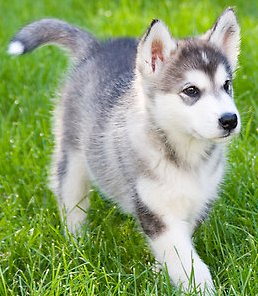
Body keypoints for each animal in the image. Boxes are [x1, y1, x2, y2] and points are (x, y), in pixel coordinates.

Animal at [9, 8, 241, 294]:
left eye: (227, 85)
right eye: (191, 91)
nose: (230, 120)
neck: (185, 156)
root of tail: (97, 48)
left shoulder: (198, 203)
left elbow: (180, 248)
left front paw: (160, 272)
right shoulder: (155, 210)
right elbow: (184, 258)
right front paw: (200, 287)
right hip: (72, 154)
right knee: (71, 200)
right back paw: (77, 245)